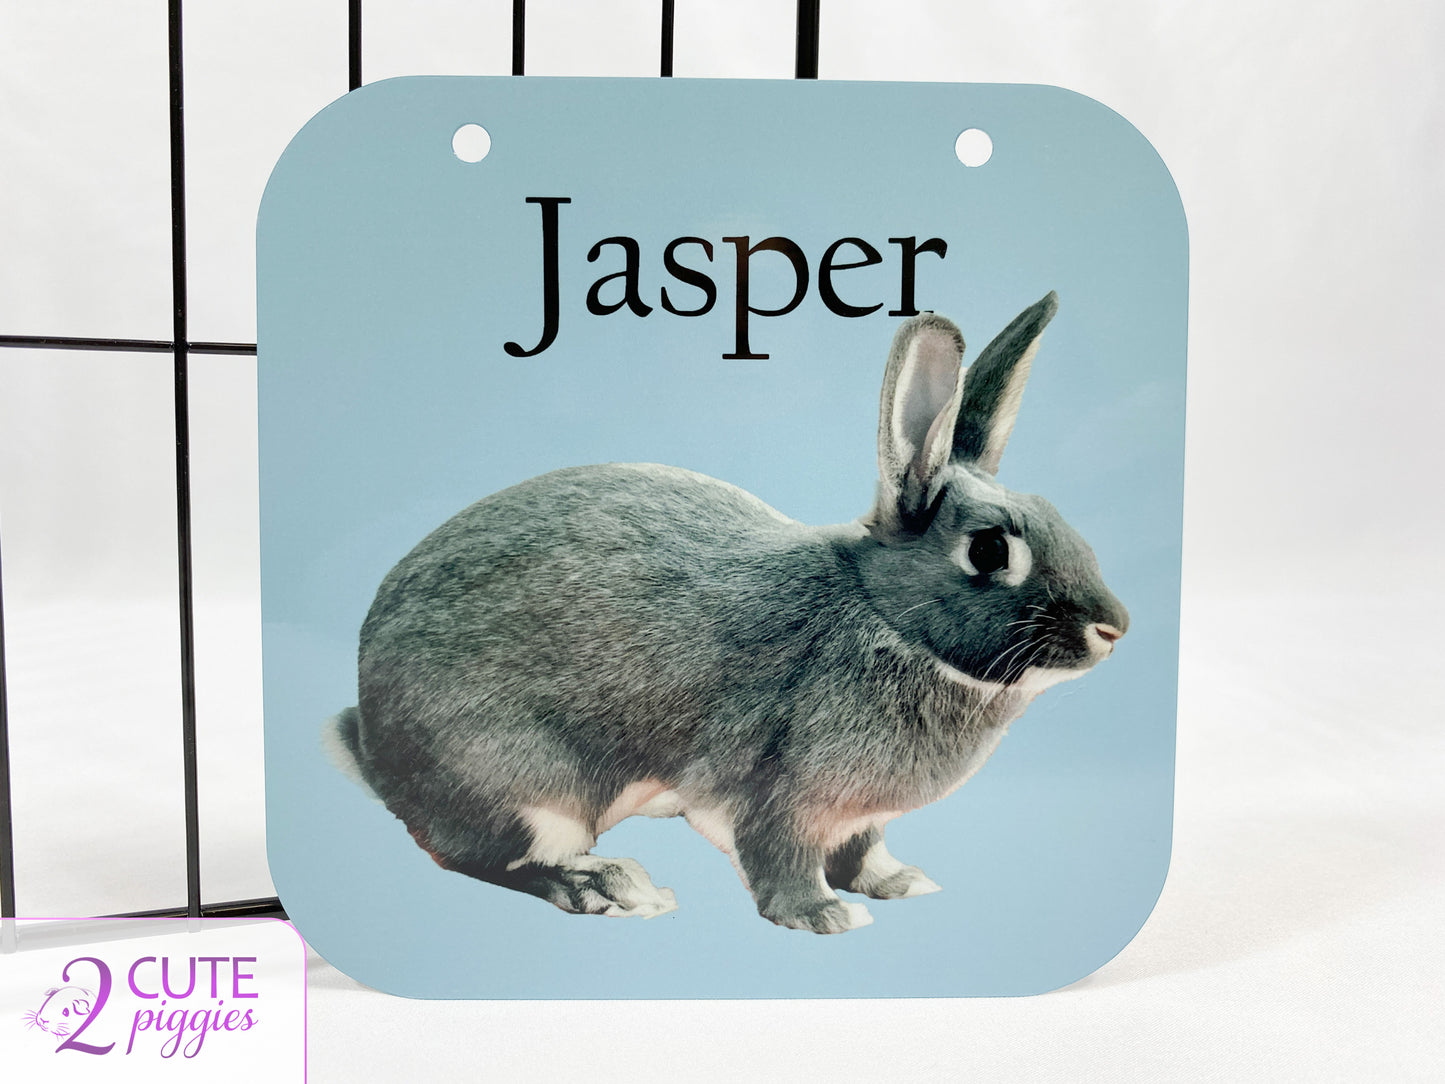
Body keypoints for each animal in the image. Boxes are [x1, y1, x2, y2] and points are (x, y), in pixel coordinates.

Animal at [325, 291, 1129, 934]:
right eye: (989, 549)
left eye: (1059, 516)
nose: (1112, 629)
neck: (884, 617)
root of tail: (373, 745)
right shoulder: (777, 790)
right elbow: (780, 857)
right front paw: (824, 916)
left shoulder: (859, 819)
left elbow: (863, 850)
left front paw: (899, 882)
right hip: (531, 785)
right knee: (486, 858)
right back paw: (611, 885)